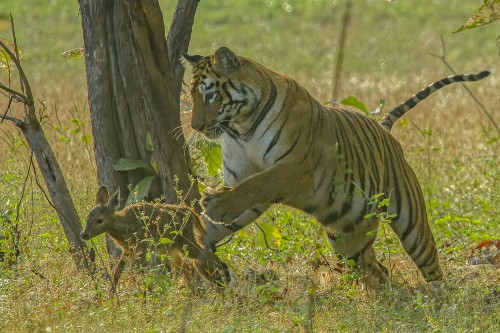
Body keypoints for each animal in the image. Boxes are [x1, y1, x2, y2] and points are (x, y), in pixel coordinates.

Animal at [182, 46, 490, 288]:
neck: (241, 127)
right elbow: (233, 204)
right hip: (344, 233)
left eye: (210, 96)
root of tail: (383, 126)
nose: (195, 126)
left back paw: (437, 299)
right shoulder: (242, 177)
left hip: (410, 219)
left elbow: (259, 184)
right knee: (374, 268)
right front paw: (196, 242)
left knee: (431, 266)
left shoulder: (297, 166)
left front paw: (214, 205)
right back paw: (385, 296)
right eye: (193, 97)